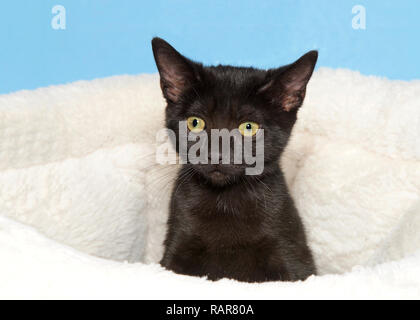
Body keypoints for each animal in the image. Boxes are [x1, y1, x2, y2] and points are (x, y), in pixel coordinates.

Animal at [153, 38, 316, 282]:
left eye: (249, 127)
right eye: (195, 123)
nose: (216, 154)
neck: (225, 200)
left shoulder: (291, 255)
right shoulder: (175, 247)